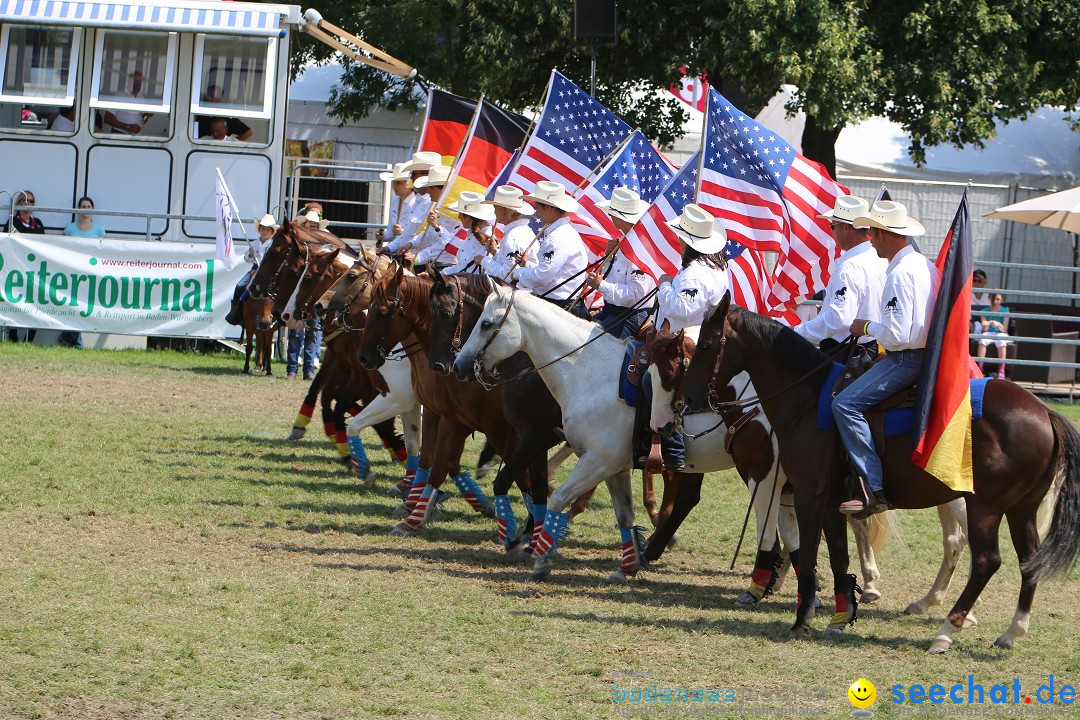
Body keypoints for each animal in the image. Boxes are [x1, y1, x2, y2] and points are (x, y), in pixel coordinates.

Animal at [682, 293, 1080, 651]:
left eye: (706, 344)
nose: (691, 398)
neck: (805, 401)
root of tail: (1045, 412)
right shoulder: (829, 502)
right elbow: (838, 557)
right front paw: (840, 617)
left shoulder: (805, 494)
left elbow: (807, 555)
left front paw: (801, 621)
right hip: (1021, 508)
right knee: (1028, 561)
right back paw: (1011, 632)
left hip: (985, 507)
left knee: (985, 561)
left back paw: (946, 631)